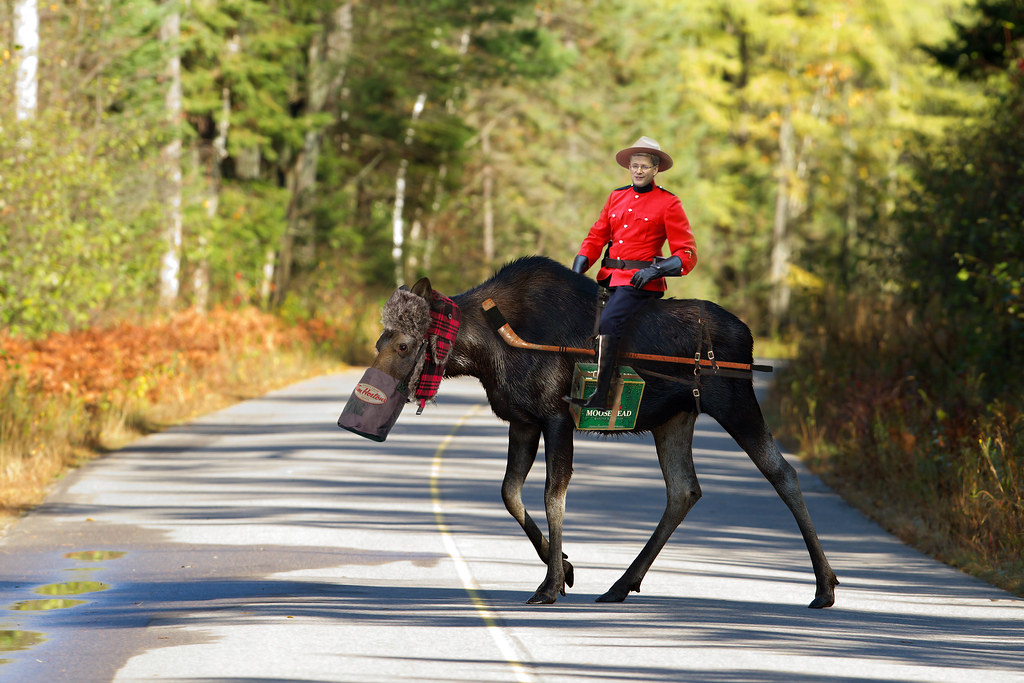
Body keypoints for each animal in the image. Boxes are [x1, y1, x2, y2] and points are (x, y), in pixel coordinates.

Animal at [364, 258, 835, 610]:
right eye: (377, 341)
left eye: (404, 344)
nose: (375, 396)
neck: (480, 353)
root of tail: (750, 337)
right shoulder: (523, 419)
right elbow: (509, 492)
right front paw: (566, 569)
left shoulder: (554, 415)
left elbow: (553, 495)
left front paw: (549, 585)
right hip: (676, 418)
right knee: (684, 488)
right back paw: (620, 585)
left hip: (735, 400)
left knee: (782, 472)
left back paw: (825, 586)